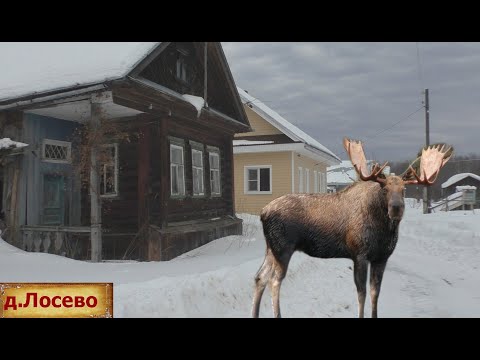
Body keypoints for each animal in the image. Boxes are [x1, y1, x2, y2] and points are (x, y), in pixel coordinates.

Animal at [253, 137, 452, 318]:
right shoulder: (359, 254)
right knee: (274, 281)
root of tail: (263, 212)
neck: (383, 232)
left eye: (403, 190)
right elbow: (361, 293)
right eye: (385, 189)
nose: (396, 208)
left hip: (271, 248)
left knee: (260, 277)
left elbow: (375, 293)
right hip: (283, 248)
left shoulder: (381, 258)